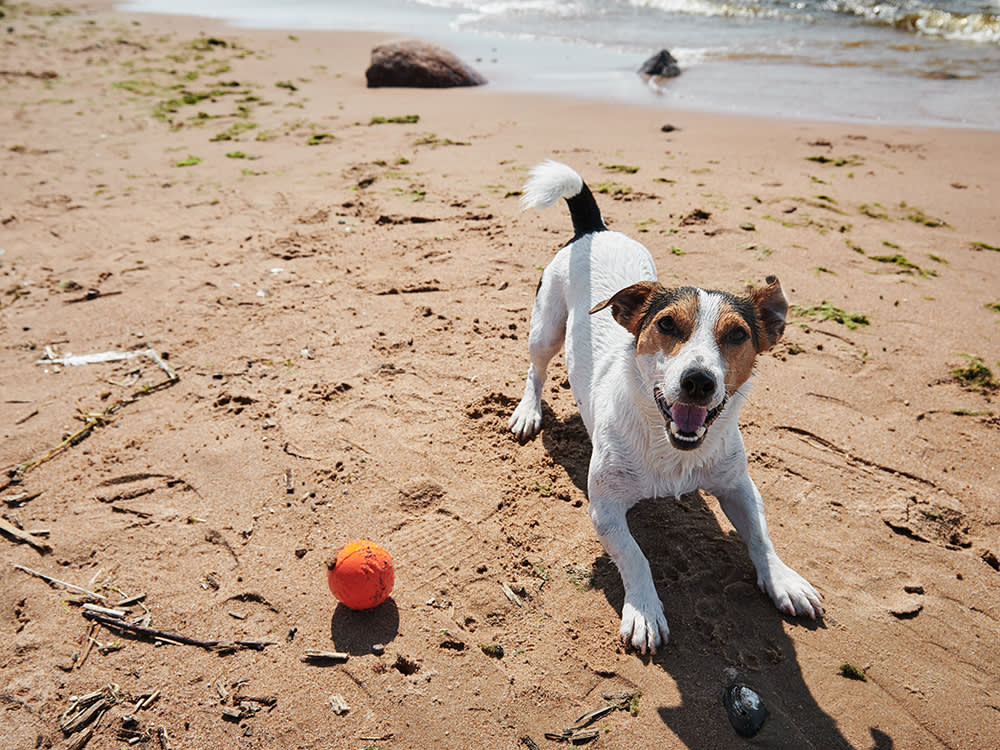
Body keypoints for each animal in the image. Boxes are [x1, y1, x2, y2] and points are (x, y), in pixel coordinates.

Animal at [508, 162, 820, 656]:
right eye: (667, 324)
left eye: (737, 335)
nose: (698, 381)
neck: (672, 448)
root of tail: (594, 231)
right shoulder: (605, 508)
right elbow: (636, 558)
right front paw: (644, 611)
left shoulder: (738, 485)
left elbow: (760, 534)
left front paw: (782, 580)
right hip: (546, 327)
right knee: (535, 370)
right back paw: (528, 411)